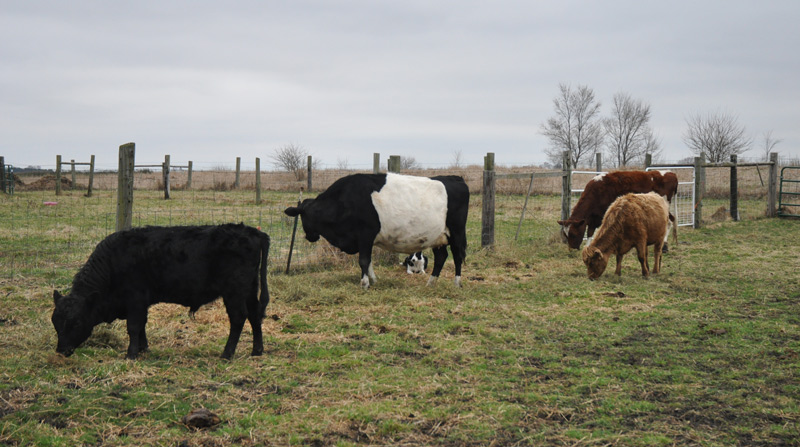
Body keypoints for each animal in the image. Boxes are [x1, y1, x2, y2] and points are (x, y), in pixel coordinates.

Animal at [51, 224, 270, 360]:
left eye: (76, 322)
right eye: (55, 322)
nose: (61, 351)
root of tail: (251, 231)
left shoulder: (135, 299)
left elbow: (133, 326)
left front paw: (131, 354)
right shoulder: (140, 303)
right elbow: (142, 326)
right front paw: (143, 349)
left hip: (234, 292)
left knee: (238, 318)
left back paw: (227, 354)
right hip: (250, 289)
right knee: (254, 315)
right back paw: (257, 350)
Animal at [284, 173, 469, 289]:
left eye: (302, 217)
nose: (310, 237)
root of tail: (455, 178)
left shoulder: (365, 234)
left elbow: (364, 260)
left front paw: (364, 283)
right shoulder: (365, 240)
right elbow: (369, 261)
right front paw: (372, 280)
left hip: (456, 233)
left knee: (457, 256)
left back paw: (457, 283)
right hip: (438, 237)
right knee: (441, 257)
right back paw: (431, 283)